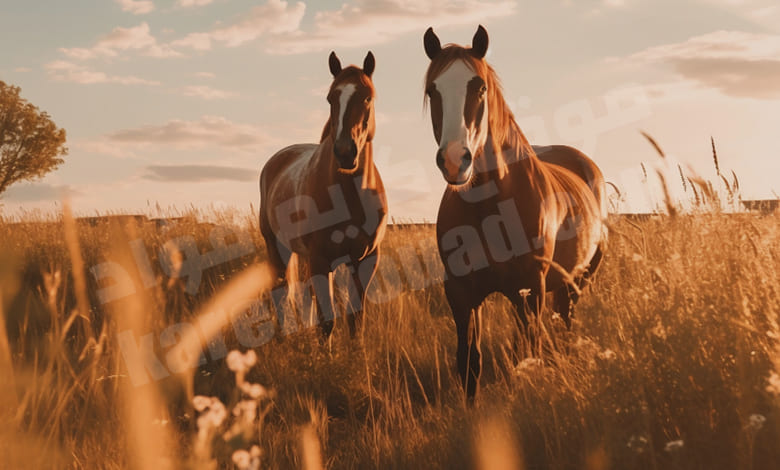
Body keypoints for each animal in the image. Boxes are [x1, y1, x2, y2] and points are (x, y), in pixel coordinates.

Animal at [258, 51, 386, 338]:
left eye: (367, 97)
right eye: (330, 98)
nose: (345, 152)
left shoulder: (365, 260)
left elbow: (355, 319)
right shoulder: (320, 260)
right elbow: (327, 322)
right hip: (277, 248)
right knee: (280, 295)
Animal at [424, 25, 608, 400]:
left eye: (479, 87)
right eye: (432, 90)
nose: (455, 160)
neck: (488, 208)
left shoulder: (531, 289)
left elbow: (527, 357)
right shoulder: (461, 295)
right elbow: (469, 364)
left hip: (575, 281)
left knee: (563, 328)